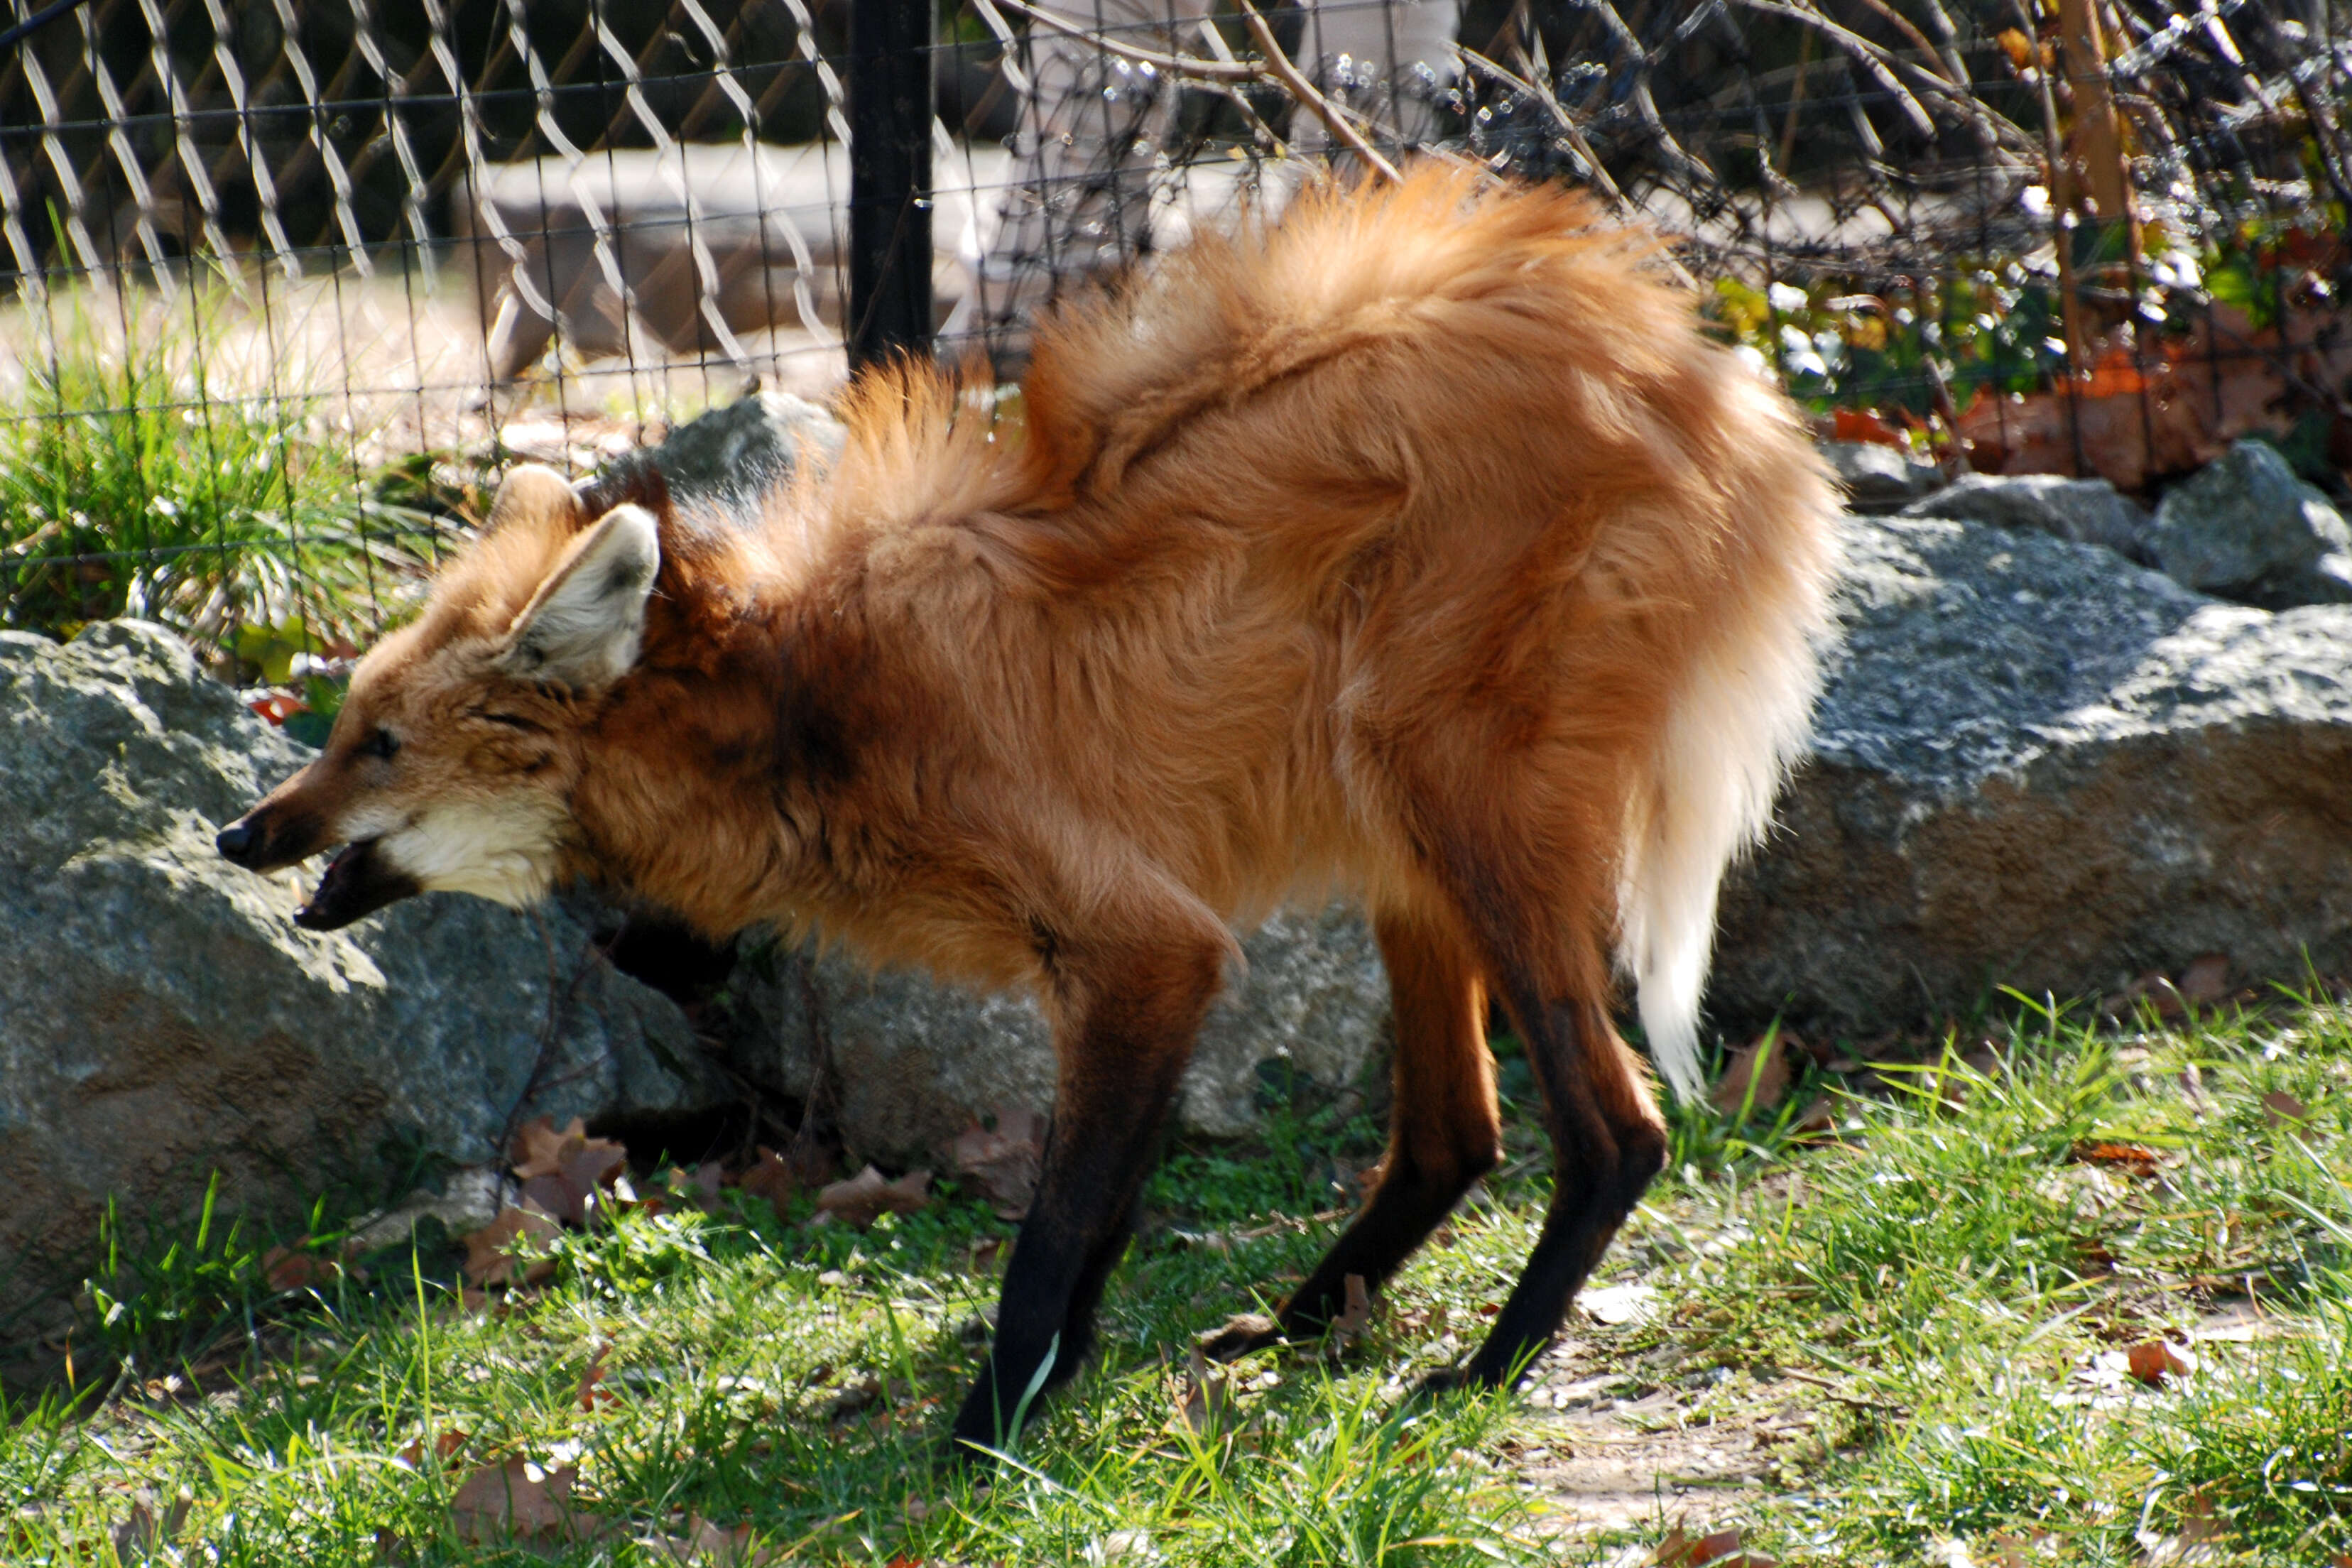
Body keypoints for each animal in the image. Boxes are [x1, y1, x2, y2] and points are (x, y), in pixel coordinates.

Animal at [216, 169, 1834, 1457]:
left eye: (375, 743)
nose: (240, 835)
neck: (804, 710)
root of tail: (1710, 378)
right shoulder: (1117, 967)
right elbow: (1100, 1217)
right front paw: (1054, 1391)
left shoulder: (1145, 948)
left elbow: (1052, 1230)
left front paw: (984, 1436)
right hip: (1399, 824)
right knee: (1455, 1132)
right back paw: (1302, 1323)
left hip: (1456, 797)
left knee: (1615, 1128)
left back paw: (1482, 1370)